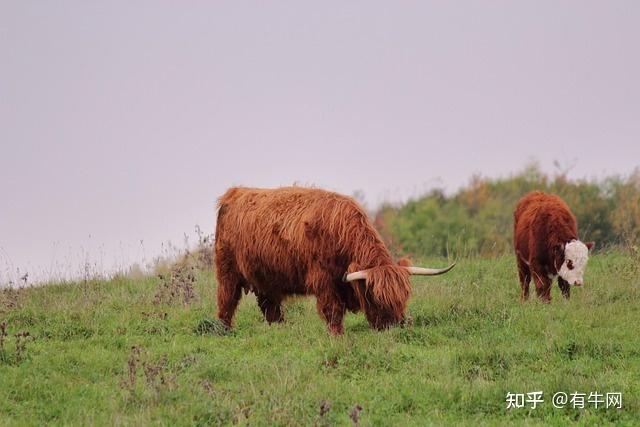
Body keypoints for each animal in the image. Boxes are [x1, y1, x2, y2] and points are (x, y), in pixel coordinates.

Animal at [215, 187, 456, 334]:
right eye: (377, 298)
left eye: (403, 297)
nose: (394, 326)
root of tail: (234, 192)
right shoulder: (323, 280)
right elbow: (333, 311)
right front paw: (337, 335)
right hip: (227, 272)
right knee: (227, 302)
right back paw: (225, 330)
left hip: (267, 278)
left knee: (270, 307)